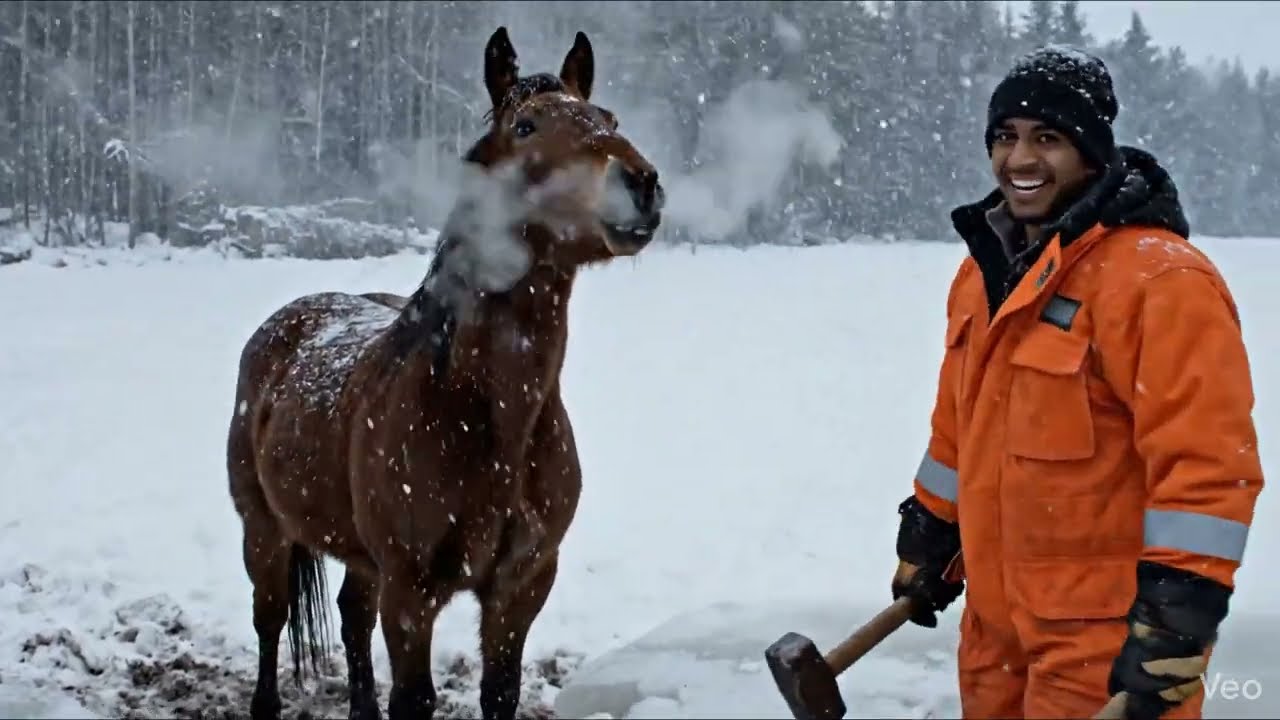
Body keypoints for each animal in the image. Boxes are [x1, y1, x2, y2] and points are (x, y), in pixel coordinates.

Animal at [225, 26, 665, 720]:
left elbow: (499, 692)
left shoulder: (521, 587)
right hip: (263, 530)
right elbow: (414, 698)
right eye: (525, 126)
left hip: (359, 556)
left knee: (351, 617)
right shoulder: (411, 590)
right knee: (270, 623)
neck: (488, 418)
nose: (640, 184)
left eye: (609, 118)